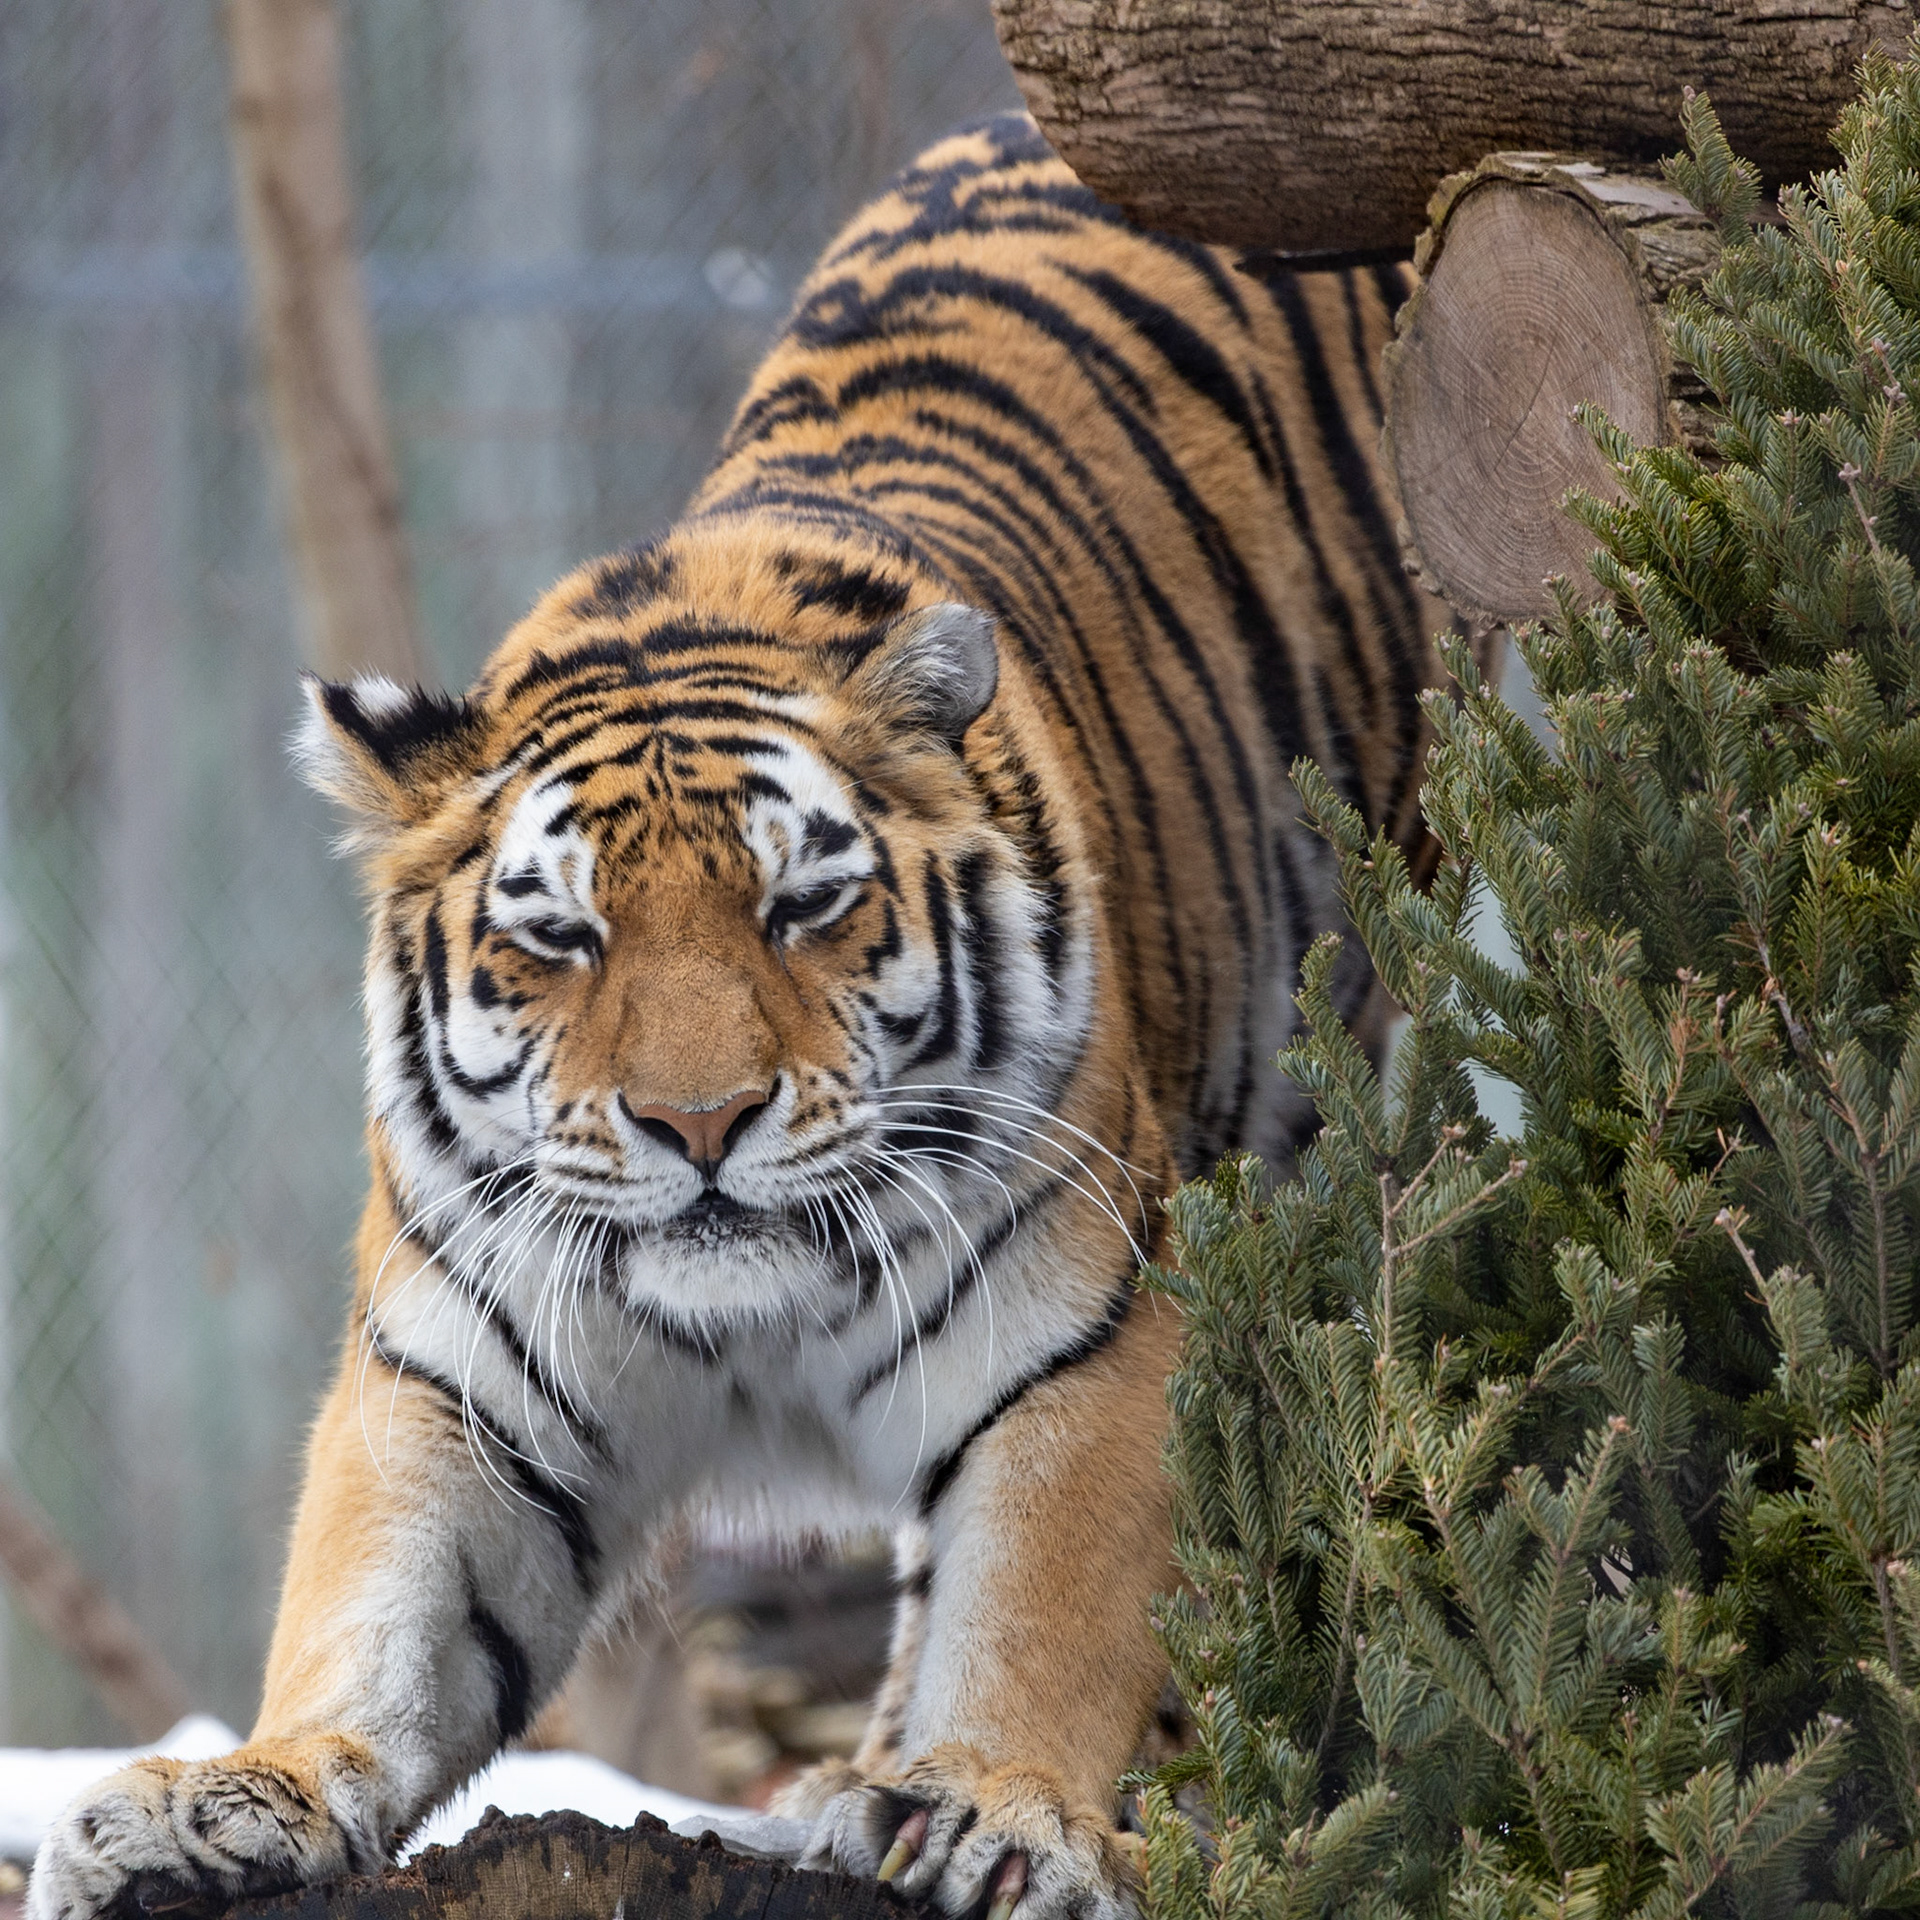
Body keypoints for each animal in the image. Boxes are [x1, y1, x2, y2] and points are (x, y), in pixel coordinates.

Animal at [31, 112, 1457, 1920]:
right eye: (562, 937)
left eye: (802, 906)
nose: (699, 1124)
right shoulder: (458, 1384)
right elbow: (371, 1608)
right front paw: (229, 1797)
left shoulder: (1084, 1334)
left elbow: (1043, 1594)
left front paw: (991, 1807)